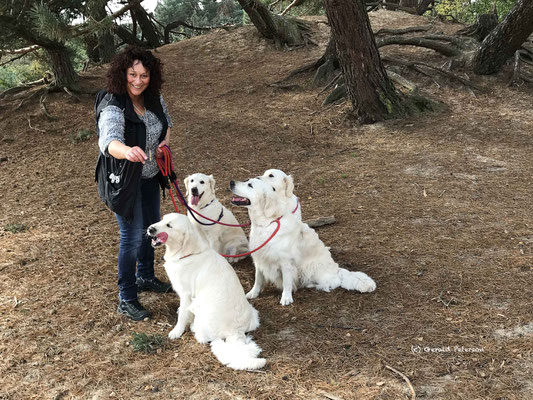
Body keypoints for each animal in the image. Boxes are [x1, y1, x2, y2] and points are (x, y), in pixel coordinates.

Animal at [147, 214, 264, 370]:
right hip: (253, 314)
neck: (188, 253)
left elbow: (183, 314)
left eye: (169, 225)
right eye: (162, 219)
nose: (150, 228)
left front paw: (177, 331)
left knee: (203, 337)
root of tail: (236, 330)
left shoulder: (186, 294)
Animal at [229, 178, 374, 306]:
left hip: (311, 267)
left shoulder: (286, 262)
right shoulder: (260, 258)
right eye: (247, 181)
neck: (266, 224)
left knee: (332, 282)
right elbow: (258, 279)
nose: (231, 182)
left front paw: (286, 298)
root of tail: (337, 269)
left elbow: (287, 282)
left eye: (250, 185)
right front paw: (253, 293)